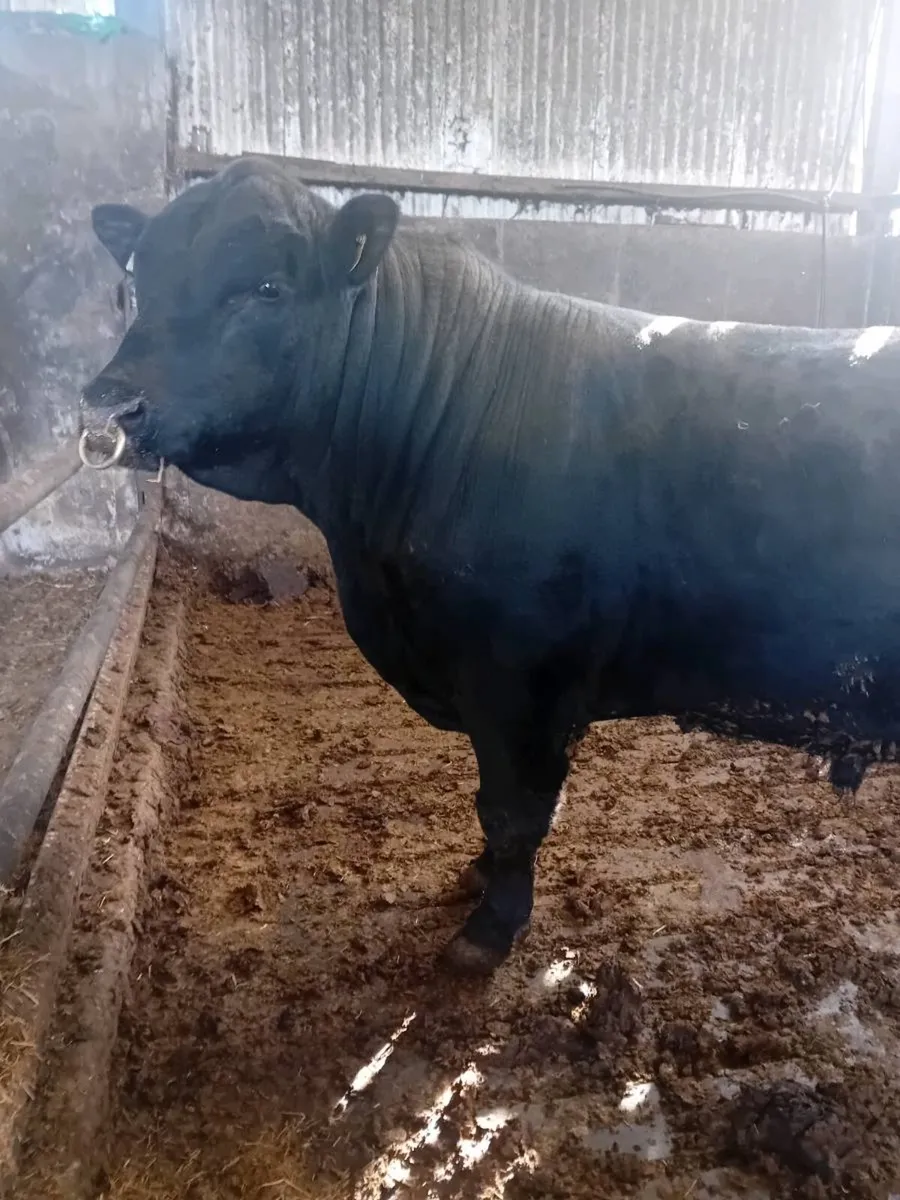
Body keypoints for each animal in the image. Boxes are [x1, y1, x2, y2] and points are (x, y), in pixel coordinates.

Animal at [79, 156, 900, 976]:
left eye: (267, 287)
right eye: (138, 283)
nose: (109, 404)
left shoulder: (520, 681)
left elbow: (513, 810)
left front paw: (489, 929)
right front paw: (475, 880)